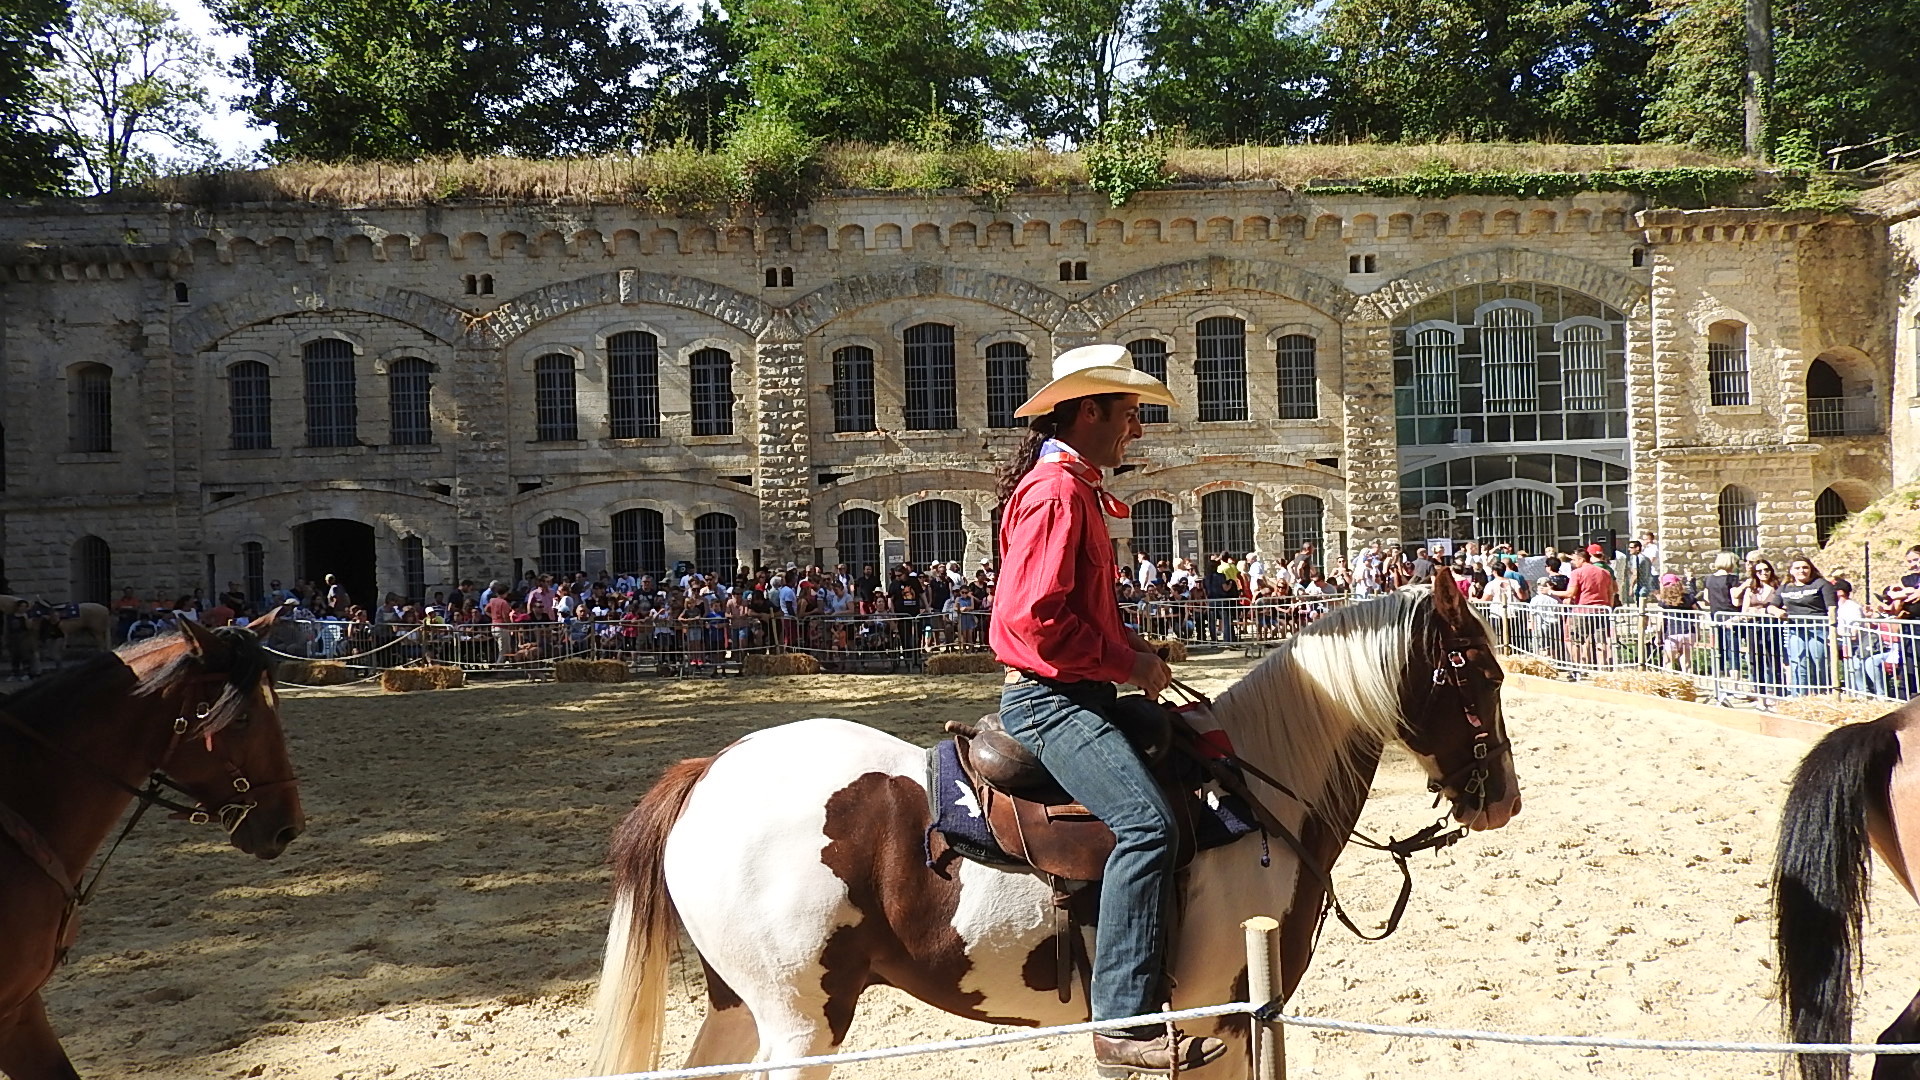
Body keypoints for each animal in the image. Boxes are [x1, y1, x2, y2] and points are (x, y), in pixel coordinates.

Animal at [591, 568, 1521, 1079]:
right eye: (1480, 674)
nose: (1503, 799)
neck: (1255, 796)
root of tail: (708, 772)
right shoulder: (1214, 1017)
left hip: (739, 1005)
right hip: (800, 1021)